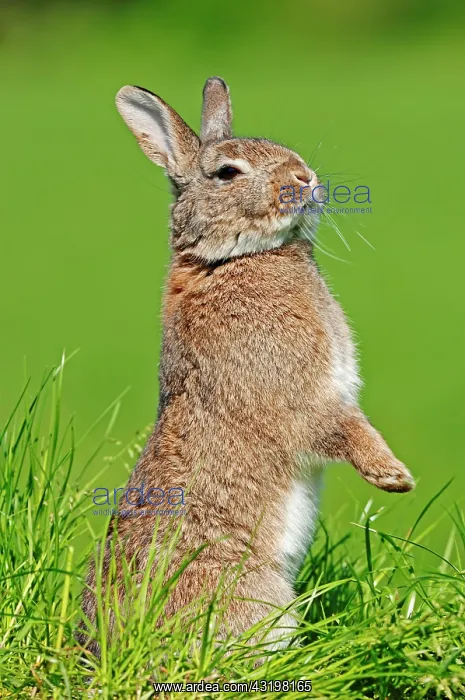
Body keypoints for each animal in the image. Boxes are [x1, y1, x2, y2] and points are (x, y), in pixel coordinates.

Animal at [80, 77, 414, 655]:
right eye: (227, 173)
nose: (304, 178)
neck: (228, 260)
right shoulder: (298, 391)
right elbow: (338, 426)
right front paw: (393, 476)